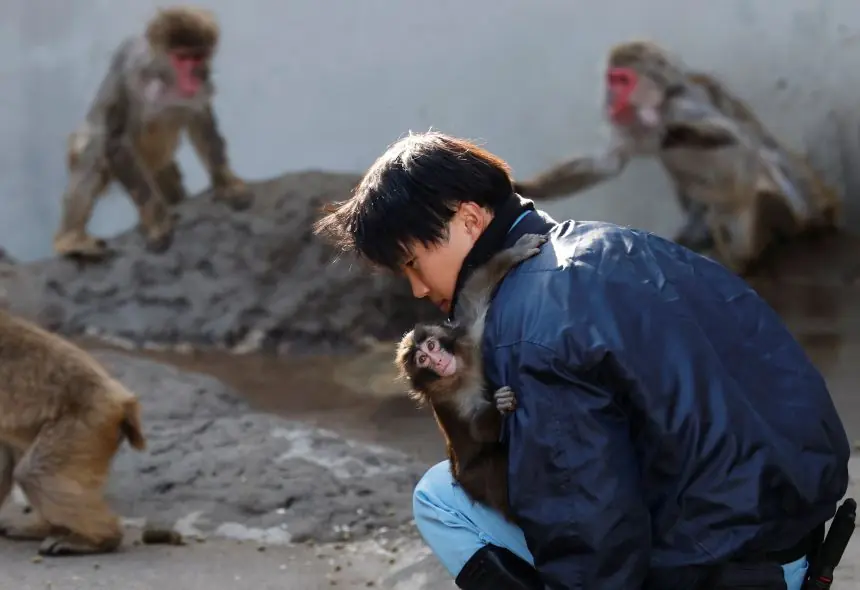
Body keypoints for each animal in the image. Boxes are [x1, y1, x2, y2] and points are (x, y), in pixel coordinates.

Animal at [52, 5, 253, 260]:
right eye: (182, 58)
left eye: (197, 57)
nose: (192, 78)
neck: (164, 80)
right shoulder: (131, 73)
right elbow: (116, 139)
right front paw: (157, 223)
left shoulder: (202, 78)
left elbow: (202, 121)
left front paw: (227, 184)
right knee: (95, 151)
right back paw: (69, 239)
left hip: (159, 166)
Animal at [395, 233, 548, 518]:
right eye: (422, 360)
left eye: (431, 346)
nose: (439, 361)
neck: (459, 372)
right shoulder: (451, 397)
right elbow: (477, 429)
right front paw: (500, 407)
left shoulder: (469, 340)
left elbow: (475, 291)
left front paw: (514, 254)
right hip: (471, 478)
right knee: (491, 465)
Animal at [513, 40, 842, 275]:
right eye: (611, 80)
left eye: (622, 81)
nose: (610, 100)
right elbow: (607, 165)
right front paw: (521, 187)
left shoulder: (684, 104)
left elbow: (738, 140)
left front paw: (670, 132)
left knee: (761, 177)